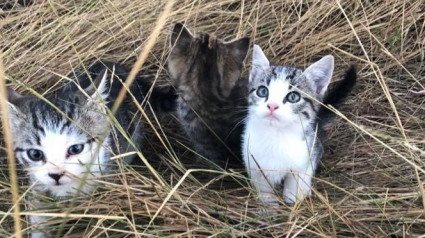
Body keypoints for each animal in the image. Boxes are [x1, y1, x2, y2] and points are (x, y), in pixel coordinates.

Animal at [242, 44, 354, 205]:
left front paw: (293, 201)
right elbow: (263, 188)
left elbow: (295, 185)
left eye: (293, 97)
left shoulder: (306, 157)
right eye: (262, 91)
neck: (276, 136)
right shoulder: (253, 163)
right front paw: (267, 203)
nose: (272, 106)